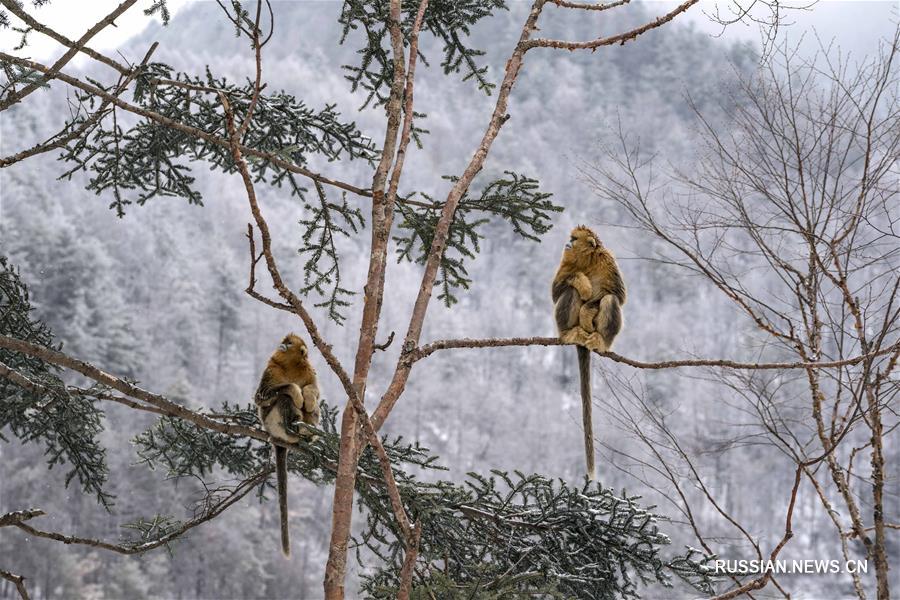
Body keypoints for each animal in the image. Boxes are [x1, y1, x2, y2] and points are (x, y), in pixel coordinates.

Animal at [253, 332, 320, 556]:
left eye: (289, 343)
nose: (281, 345)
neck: (290, 365)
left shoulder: (309, 371)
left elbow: (313, 390)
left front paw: (307, 396)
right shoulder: (270, 371)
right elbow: (264, 396)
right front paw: (297, 393)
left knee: (314, 408)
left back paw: (308, 433)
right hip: (272, 422)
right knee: (283, 399)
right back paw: (293, 427)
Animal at [548, 225, 624, 478]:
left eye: (574, 238)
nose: (567, 243)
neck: (587, 260)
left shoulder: (608, 259)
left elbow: (617, 294)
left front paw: (587, 311)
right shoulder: (566, 263)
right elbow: (558, 291)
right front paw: (582, 283)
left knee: (610, 299)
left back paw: (600, 340)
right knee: (569, 292)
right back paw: (570, 332)